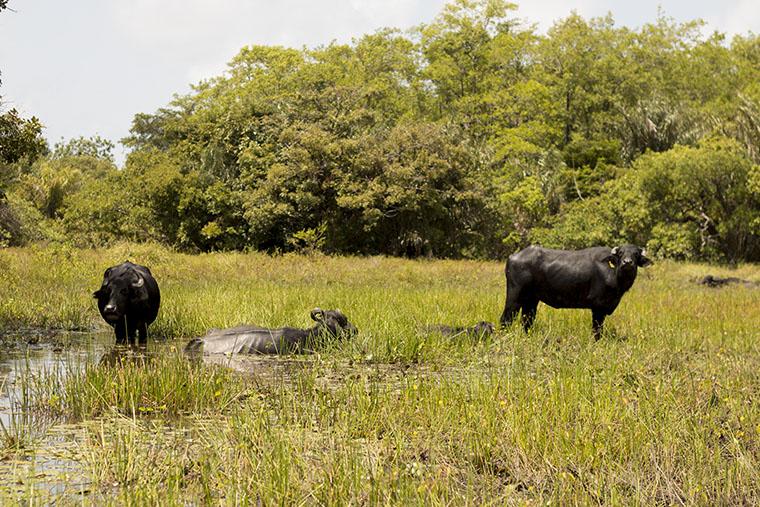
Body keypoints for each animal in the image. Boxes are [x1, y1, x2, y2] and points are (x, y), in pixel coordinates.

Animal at [498, 245, 652, 340]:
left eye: (636, 254)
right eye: (620, 253)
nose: (627, 262)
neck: (614, 276)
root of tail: (513, 257)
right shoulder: (598, 308)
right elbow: (597, 330)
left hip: (531, 300)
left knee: (527, 321)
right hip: (514, 297)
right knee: (506, 319)